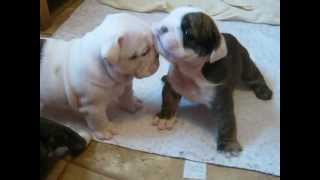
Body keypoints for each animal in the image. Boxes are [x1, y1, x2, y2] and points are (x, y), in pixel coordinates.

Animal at [40, 13, 159, 141]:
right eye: (144, 52)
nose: (157, 54)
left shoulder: (126, 85)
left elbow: (127, 96)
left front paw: (133, 104)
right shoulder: (93, 107)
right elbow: (99, 120)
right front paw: (105, 130)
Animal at [151, 6, 272, 156]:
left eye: (187, 33)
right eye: (169, 16)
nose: (163, 27)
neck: (191, 71)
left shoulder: (221, 100)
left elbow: (227, 122)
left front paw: (228, 145)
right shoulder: (172, 84)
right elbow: (168, 101)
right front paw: (165, 117)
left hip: (246, 65)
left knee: (256, 76)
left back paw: (264, 91)